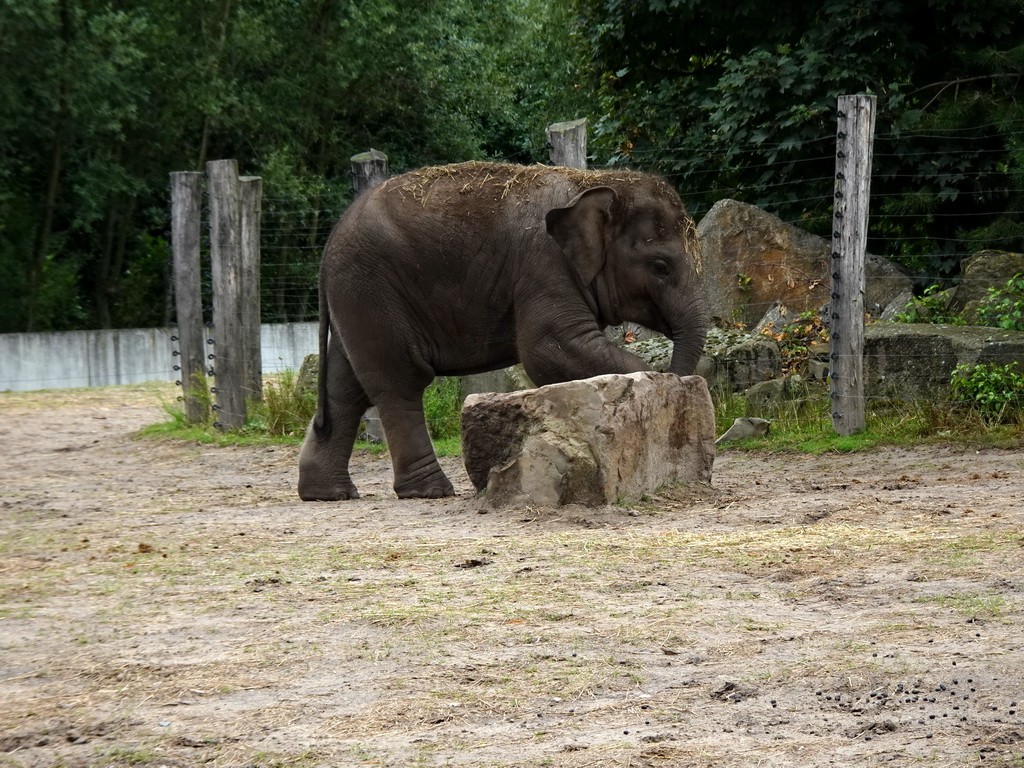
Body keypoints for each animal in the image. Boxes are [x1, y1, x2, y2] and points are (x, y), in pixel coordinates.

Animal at [299, 159, 708, 501]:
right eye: (660, 267)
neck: (592, 181)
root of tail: (328, 245)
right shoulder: (544, 263)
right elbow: (549, 348)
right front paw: (649, 380)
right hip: (373, 291)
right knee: (400, 382)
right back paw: (430, 492)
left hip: (357, 300)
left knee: (344, 387)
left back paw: (329, 494)